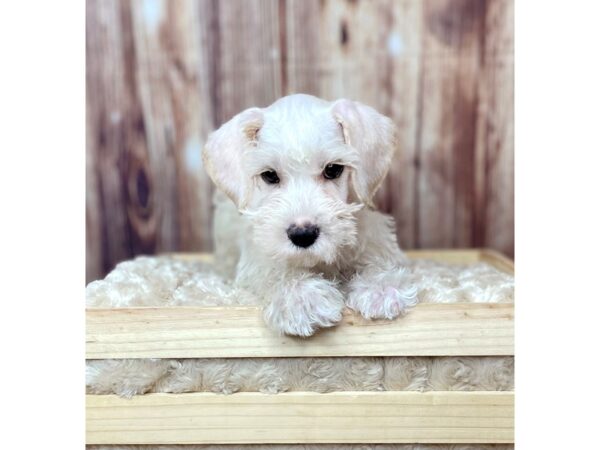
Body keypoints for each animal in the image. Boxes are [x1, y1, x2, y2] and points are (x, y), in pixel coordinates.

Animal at [204, 93, 414, 336]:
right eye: (269, 175)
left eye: (333, 169)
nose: (303, 235)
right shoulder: (257, 256)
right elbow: (274, 270)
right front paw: (301, 297)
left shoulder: (372, 235)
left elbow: (379, 259)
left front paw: (381, 287)